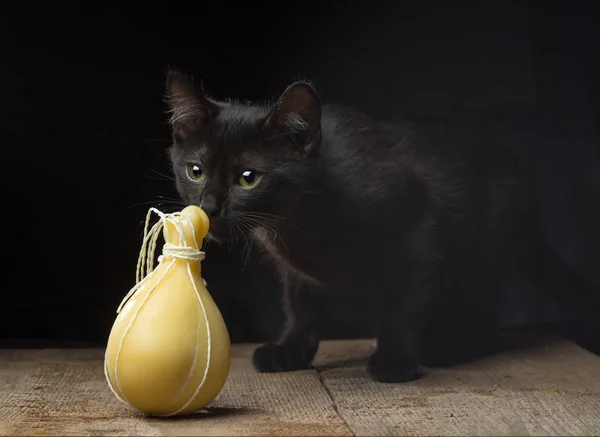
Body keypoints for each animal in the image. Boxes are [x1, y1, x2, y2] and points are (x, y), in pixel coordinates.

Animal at [162, 70, 556, 380]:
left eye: (248, 178)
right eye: (195, 171)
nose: (209, 207)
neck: (302, 220)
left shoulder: (422, 233)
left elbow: (402, 306)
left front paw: (395, 361)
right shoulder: (295, 271)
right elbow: (300, 305)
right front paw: (289, 351)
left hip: (488, 247)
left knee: (484, 309)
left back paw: (453, 348)